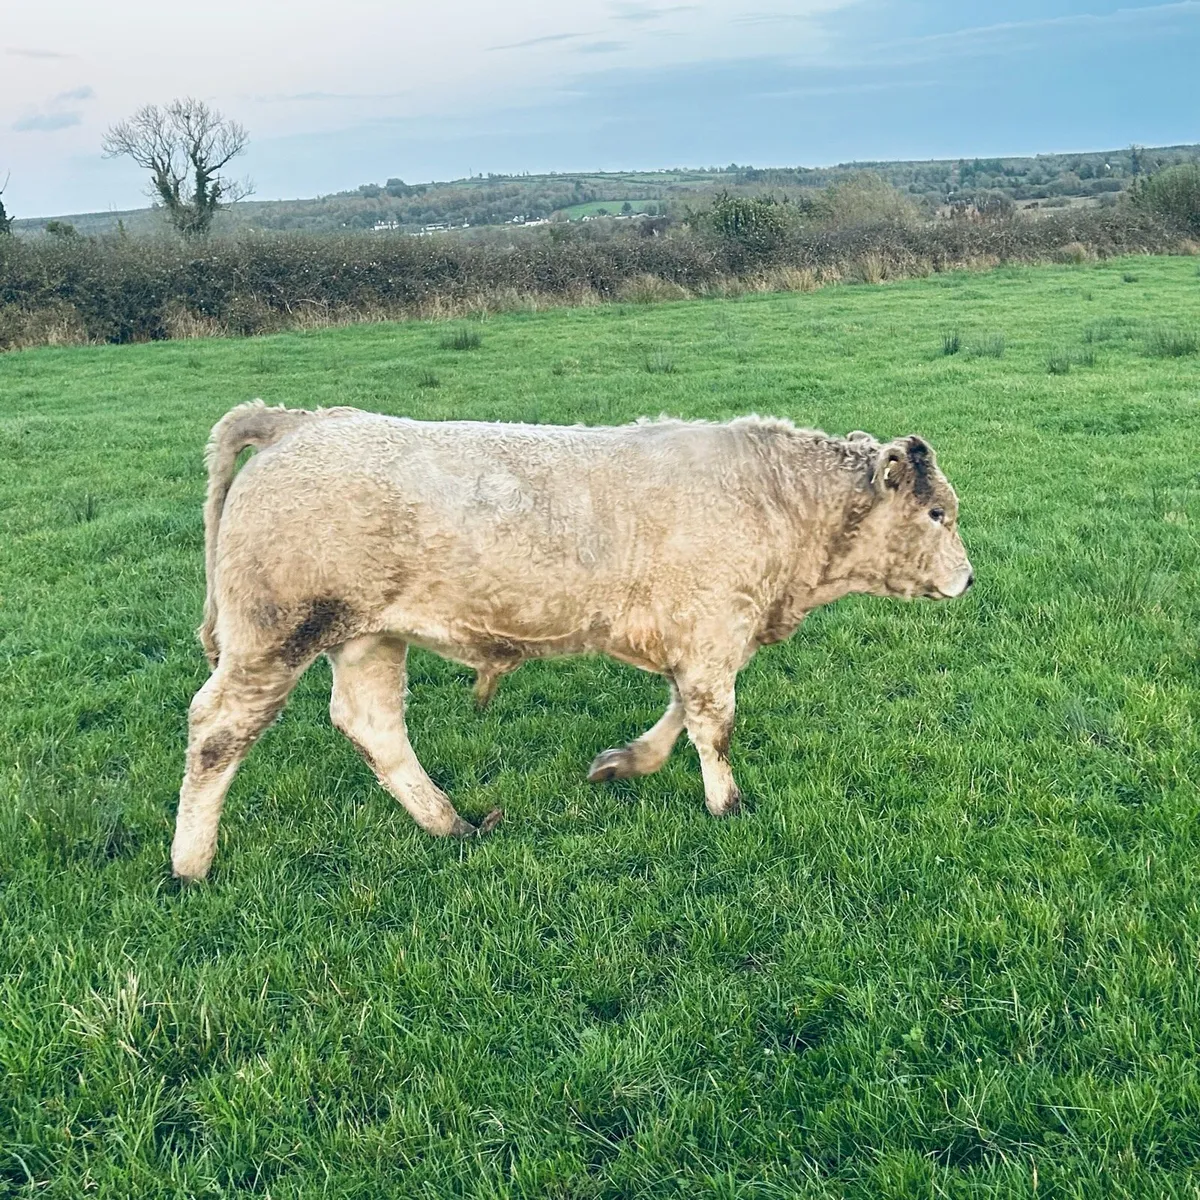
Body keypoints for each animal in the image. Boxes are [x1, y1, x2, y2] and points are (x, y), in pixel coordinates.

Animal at [171, 401, 973, 880]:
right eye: (938, 513)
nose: (968, 579)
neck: (779, 503)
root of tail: (296, 422)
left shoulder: (701, 635)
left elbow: (681, 712)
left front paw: (625, 763)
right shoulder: (712, 630)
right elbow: (713, 723)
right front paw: (728, 807)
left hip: (370, 635)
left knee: (372, 724)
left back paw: (452, 825)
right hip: (274, 635)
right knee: (217, 730)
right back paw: (190, 863)